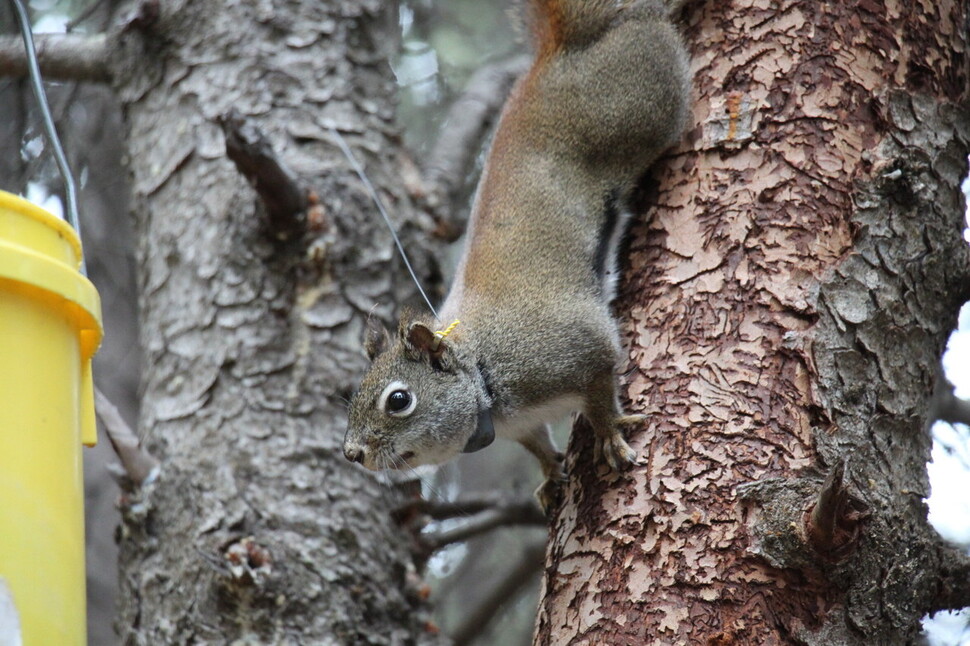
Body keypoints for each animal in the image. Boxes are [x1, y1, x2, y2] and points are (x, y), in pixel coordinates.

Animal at [340, 1, 688, 516]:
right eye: (354, 394)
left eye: (398, 400)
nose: (352, 453)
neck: (484, 374)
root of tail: (559, 53)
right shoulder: (521, 424)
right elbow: (537, 444)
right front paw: (548, 476)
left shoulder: (575, 351)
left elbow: (600, 386)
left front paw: (608, 433)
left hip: (646, 102)